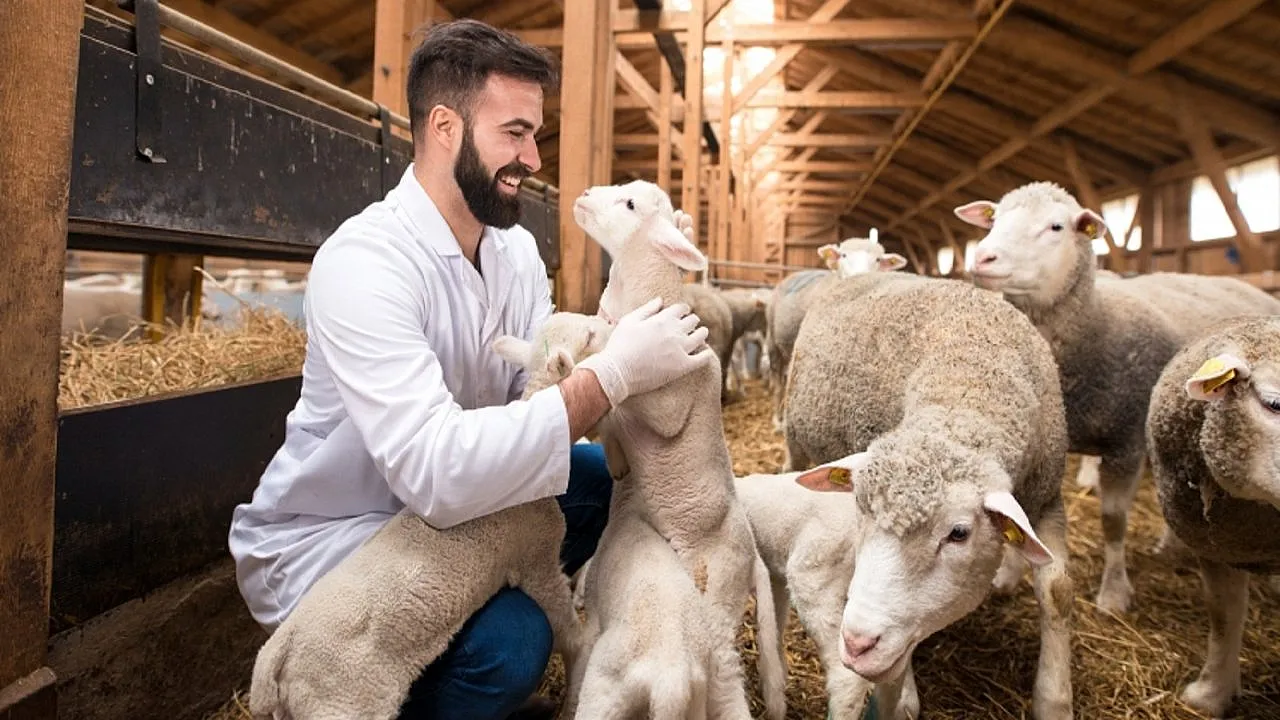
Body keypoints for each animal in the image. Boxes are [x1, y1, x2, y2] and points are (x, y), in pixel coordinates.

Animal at [245, 313, 606, 720]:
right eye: (589, 336)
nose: (609, 321)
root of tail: (275, 657)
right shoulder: (536, 557)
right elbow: (565, 628)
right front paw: (581, 659)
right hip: (342, 701)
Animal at [573, 179, 766, 716]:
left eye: (630, 204)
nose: (584, 194)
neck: (644, 296)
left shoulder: (667, 403)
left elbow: (622, 366)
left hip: (716, 594)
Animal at [782, 269, 1074, 719]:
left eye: (958, 534)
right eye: (860, 511)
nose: (857, 644)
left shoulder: (1047, 499)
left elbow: (1057, 591)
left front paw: (1054, 701)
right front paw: (903, 696)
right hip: (796, 436)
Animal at [953, 181, 1280, 613]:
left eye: (1056, 226)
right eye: (995, 219)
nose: (983, 258)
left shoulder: (1126, 443)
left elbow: (1112, 520)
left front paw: (1112, 592)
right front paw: (1007, 576)